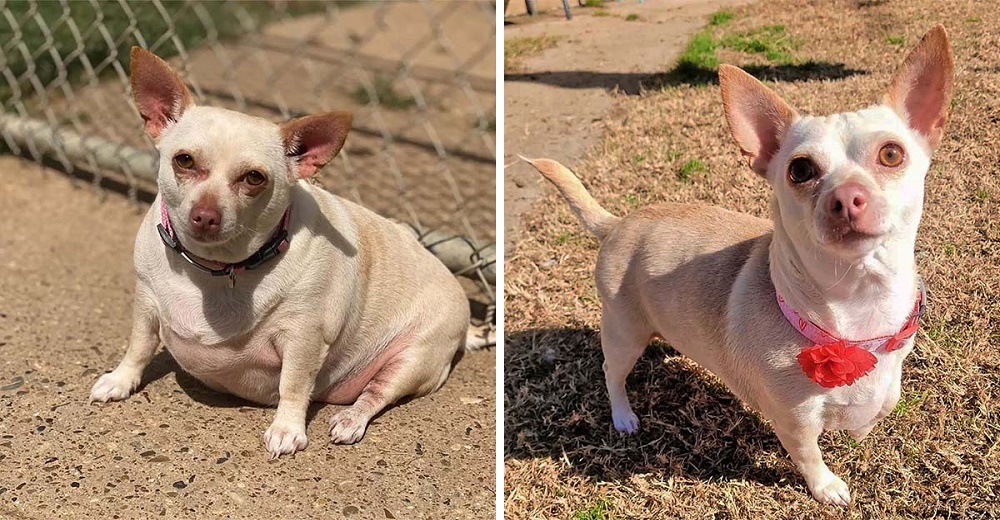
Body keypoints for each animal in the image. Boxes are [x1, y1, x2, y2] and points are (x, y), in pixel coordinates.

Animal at [90, 47, 476, 456]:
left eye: (254, 178)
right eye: (184, 160)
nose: (205, 216)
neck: (218, 268)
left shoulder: (304, 337)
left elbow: (294, 383)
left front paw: (287, 428)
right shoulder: (146, 303)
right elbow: (139, 345)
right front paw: (120, 380)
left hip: (413, 359)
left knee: (376, 394)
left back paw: (350, 420)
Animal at [524, 26, 952, 506]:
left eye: (892, 154)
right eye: (800, 170)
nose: (845, 197)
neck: (857, 302)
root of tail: (617, 223)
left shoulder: (888, 372)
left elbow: (880, 403)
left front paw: (861, 425)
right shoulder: (795, 421)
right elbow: (810, 457)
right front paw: (827, 487)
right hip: (622, 334)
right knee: (611, 373)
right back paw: (623, 416)